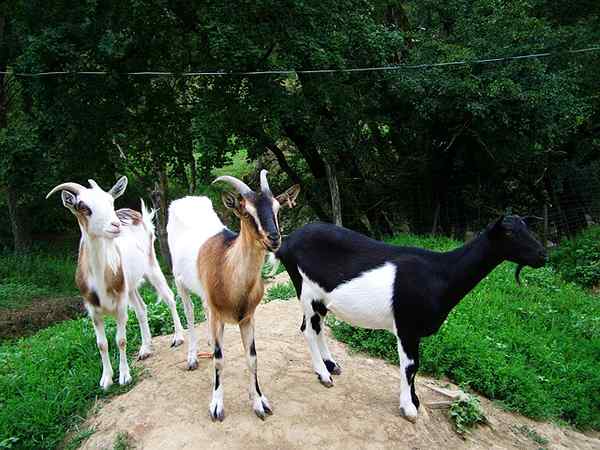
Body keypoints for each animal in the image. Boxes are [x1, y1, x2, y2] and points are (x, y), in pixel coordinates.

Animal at [46, 178, 184, 388]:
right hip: (131, 285)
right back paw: (145, 348)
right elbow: (101, 344)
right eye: (83, 207)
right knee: (141, 308)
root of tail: (136, 214)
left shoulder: (120, 304)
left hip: (151, 265)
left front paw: (125, 376)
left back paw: (178, 337)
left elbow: (121, 339)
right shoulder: (93, 309)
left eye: (110, 202)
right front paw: (106, 379)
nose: (115, 225)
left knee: (168, 297)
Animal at [166, 171, 300, 420]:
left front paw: (259, 401)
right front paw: (216, 406)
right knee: (190, 314)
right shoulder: (219, 315)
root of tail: (186, 200)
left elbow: (252, 358)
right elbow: (219, 360)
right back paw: (192, 358)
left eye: (278, 208)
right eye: (246, 212)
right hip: (179, 282)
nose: (274, 238)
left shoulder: (247, 318)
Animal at [276, 217, 548, 422]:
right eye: (510, 232)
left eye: (528, 227)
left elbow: (416, 366)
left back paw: (332, 365)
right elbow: (410, 366)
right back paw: (324, 375)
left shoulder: (414, 331)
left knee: (317, 327)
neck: (440, 273)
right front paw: (409, 408)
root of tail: (287, 243)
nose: (543, 255)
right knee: (308, 329)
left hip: (320, 299)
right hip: (306, 290)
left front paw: (415, 401)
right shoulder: (407, 327)